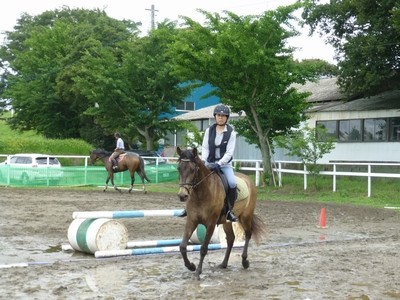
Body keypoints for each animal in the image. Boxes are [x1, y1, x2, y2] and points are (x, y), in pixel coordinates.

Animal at [176, 147, 266, 278]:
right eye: (179, 168)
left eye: (193, 169)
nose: (182, 195)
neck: (201, 194)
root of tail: (248, 179)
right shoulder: (192, 221)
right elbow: (182, 246)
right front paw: (191, 266)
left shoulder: (211, 223)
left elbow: (203, 248)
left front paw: (198, 271)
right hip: (226, 221)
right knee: (231, 239)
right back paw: (224, 264)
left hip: (245, 216)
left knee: (248, 234)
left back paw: (245, 261)